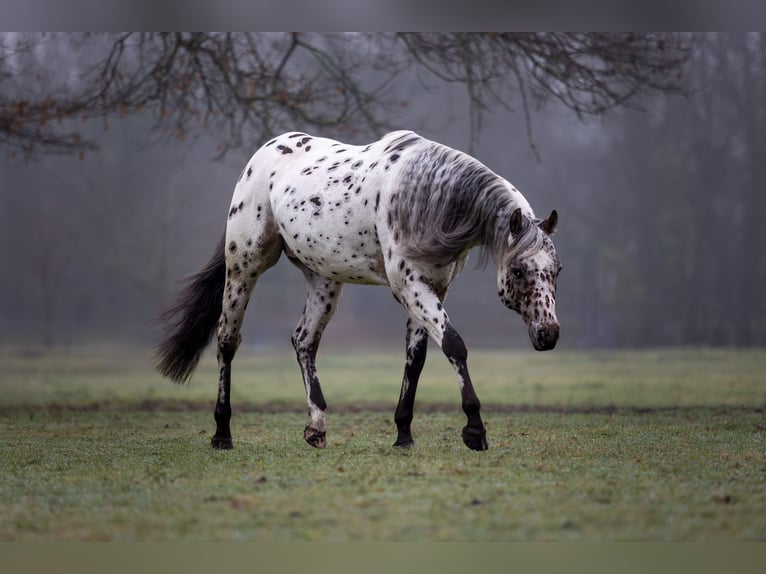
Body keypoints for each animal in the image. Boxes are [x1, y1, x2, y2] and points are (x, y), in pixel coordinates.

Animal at [155, 130, 561, 452]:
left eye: (557, 270)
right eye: (519, 270)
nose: (549, 335)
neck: (426, 195)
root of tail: (263, 155)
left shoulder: (433, 286)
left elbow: (416, 360)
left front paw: (403, 435)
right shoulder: (408, 284)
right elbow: (454, 344)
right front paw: (475, 430)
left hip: (323, 280)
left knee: (304, 342)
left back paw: (316, 428)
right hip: (245, 267)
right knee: (227, 340)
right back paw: (222, 433)